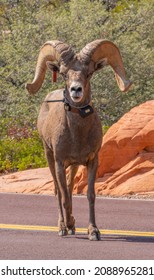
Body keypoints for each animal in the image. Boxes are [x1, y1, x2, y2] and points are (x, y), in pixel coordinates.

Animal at [25, 38, 131, 241]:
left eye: (89, 73)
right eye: (64, 74)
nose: (76, 90)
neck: (77, 135)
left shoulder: (92, 161)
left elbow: (90, 195)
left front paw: (93, 231)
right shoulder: (59, 162)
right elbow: (64, 197)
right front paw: (66, 226)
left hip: (73, 166)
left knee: (69, 186)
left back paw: (73, 224)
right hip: (49, 156)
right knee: (58, 191)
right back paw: (63, 226)